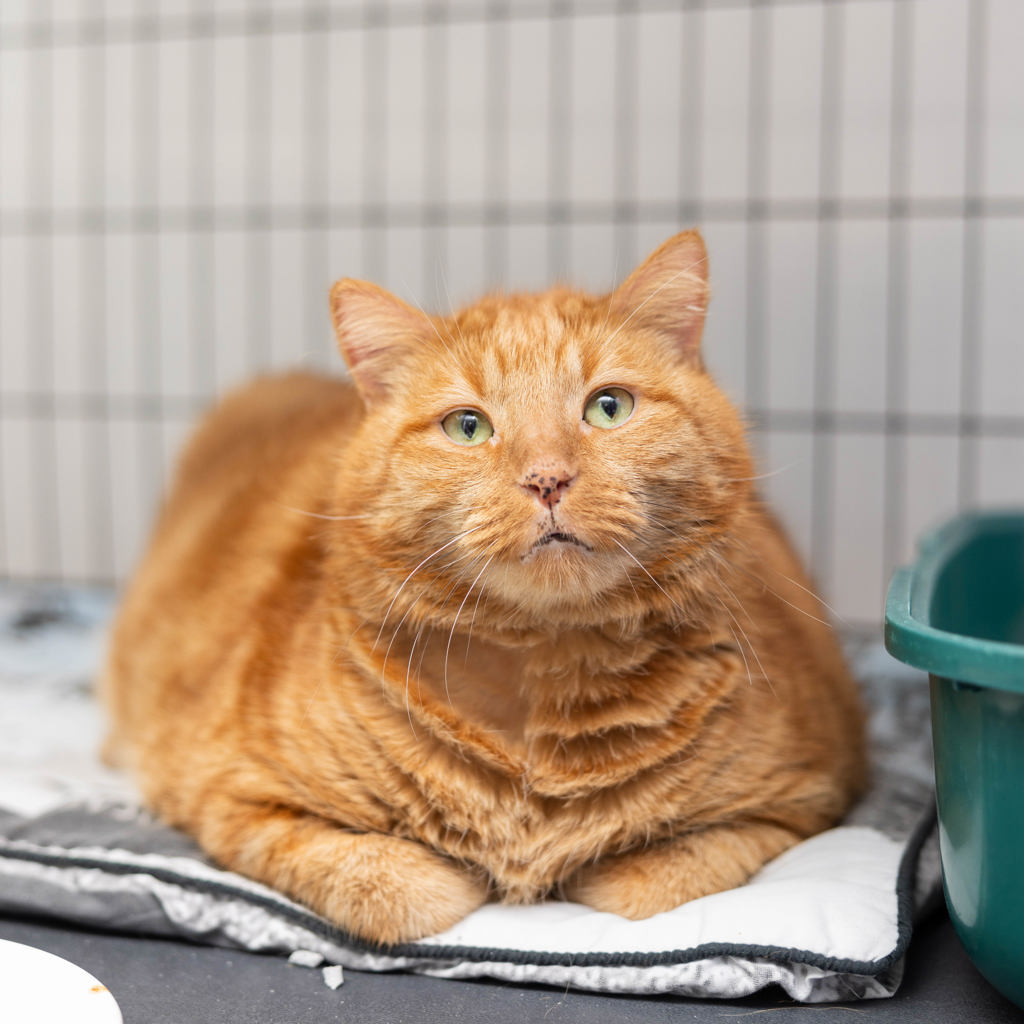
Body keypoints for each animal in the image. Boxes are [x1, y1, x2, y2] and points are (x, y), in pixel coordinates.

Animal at [105, 230, 864, 942]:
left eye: (609, 408)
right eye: (467, 427)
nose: (547, 478)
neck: (541, 685)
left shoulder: (806, 800)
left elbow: (644, 886)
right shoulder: (234, 797)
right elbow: (400, 887)